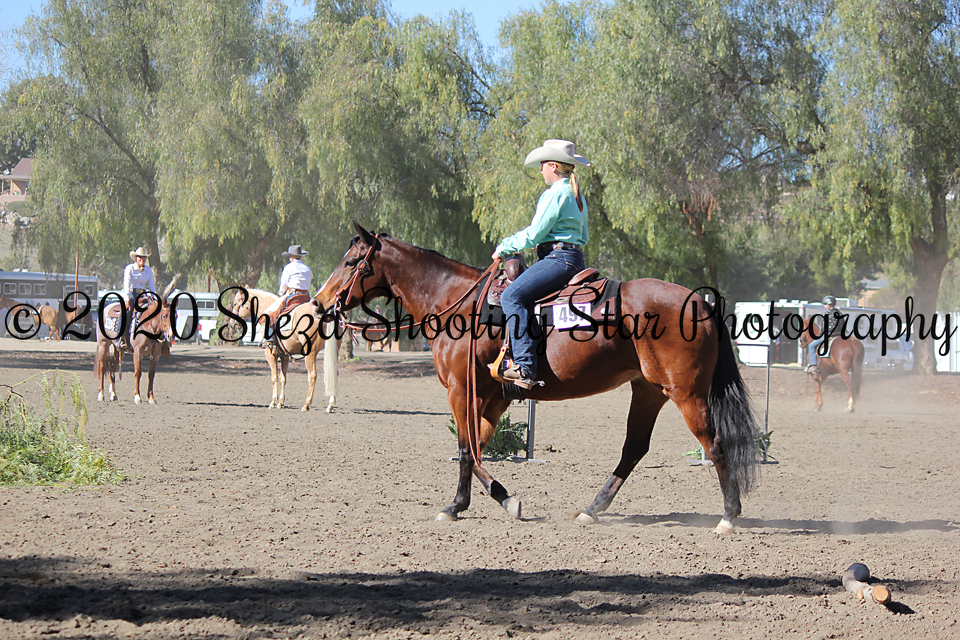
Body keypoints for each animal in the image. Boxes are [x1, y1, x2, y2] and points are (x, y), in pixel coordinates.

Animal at [311, 222, 760, 535]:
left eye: (351, 262)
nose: (318, 303)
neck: (458, 303)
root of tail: (699, 301)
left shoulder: (461, 391)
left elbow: (466, 450)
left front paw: (460, 506)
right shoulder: (494, 397)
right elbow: (478, 448)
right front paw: (496, 500)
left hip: (687, 394)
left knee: (715, 444)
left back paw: (728, 517)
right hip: (648, 390)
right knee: (634, 448)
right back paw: (591, 510)